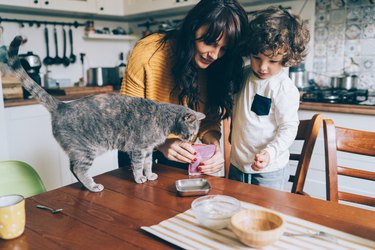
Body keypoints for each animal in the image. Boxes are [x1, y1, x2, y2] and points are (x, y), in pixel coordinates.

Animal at [2, 35, 204, 191]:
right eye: (191, 131)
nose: (190, 140)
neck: (164, 117)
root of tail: (62, 106)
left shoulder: (148, 150)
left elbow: (147, 165)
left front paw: (150, 175)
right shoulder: (139, 149)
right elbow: (138, 166)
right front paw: (140, 178)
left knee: (73, 168)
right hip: (87, 150)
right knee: (79, 169)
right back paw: (93, 186)